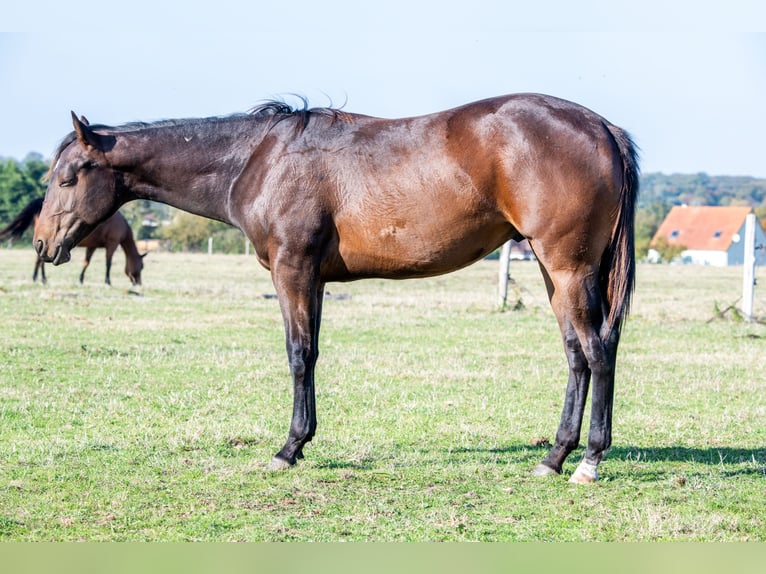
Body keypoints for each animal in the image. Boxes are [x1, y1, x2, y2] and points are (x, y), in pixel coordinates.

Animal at [1, 197, 144, 285]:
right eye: (142, 266)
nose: (138, 283)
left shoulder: (92, 246)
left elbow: (86, 262)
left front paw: (81, 280)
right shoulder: (112, 244)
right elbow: (108, 263)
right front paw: (107, 281)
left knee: (39, 260)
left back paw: (38, 278)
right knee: (40, 261)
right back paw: (42, 279)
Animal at [34, 94, 639, 483]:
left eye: (66, 177)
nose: (41, 244)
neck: (259, 159)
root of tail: (601, 127)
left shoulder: (292, 271)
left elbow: (298, 354)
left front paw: (288, 449)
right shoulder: (317, 279)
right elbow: (315, 354)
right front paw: (302, 443)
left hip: (567, 268)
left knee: (597, 351)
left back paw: (589, 461)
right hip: (552, 271)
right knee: (577, 354)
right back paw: (554, 458)